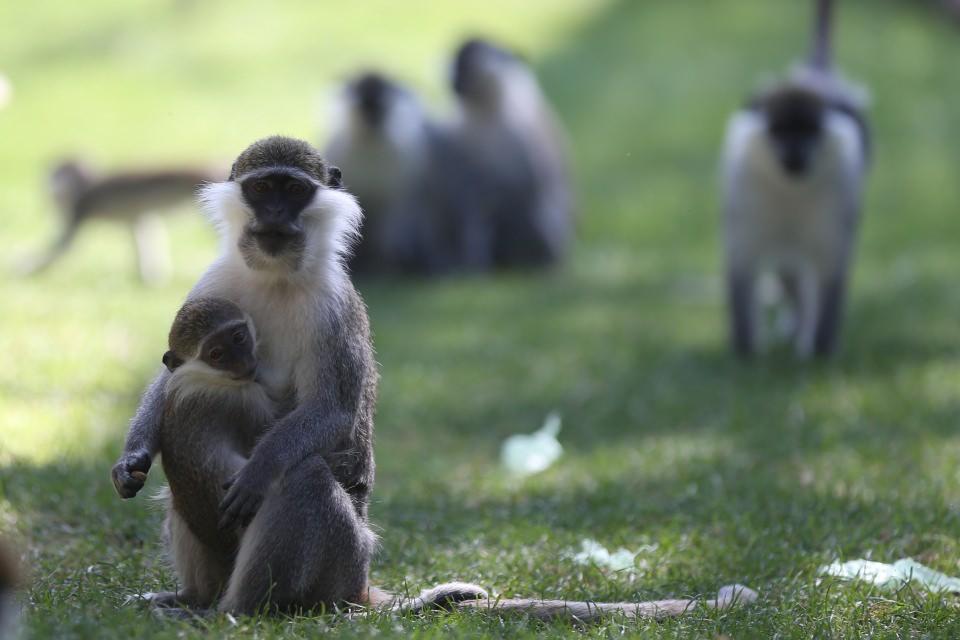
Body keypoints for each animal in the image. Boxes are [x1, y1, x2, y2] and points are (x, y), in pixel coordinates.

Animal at [23, 159, 221, 284]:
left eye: (57, 174)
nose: (50, 184)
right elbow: (141, 224)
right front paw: (148, 279)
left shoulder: (81, 206)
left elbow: (62, 247)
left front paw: (25, 269)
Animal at [720, 0, 872, 360]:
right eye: (780, 131)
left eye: (808, 130)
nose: (794, 153)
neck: (791, 189)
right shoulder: (744, 189)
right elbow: (743, 266)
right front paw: (746, 356)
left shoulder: (840, 192)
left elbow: (831, 270)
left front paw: (819, 353)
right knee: (789, 269)